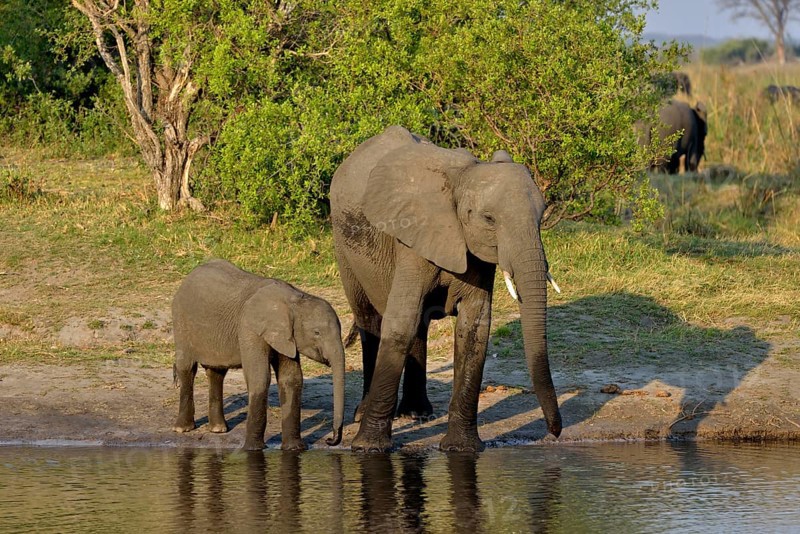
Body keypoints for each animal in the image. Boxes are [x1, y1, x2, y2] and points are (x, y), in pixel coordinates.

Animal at [171, 259, 345, 450]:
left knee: (217, 372)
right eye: (317, 333)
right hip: (181, 320)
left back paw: (218, 429)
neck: (295, 300)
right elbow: (259, 377)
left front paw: (294, 449)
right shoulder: (250, 328)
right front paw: (253, 450)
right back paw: (183, 429)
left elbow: (291, 379)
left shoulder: (285, 335)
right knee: (187, 368)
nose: (331, 440)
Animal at [330, 125, 562, 452]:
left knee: (419, 324)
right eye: (488, 218)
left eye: (541, 217)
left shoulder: (476, 254)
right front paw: (369, 449)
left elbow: (474, 328)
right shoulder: (411, 239)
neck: (463, 177)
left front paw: (461, 449)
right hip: (344, 245)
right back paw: (365, 413)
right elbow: (399, 324)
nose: (554, 433)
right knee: (370, 320)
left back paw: (417, 414)